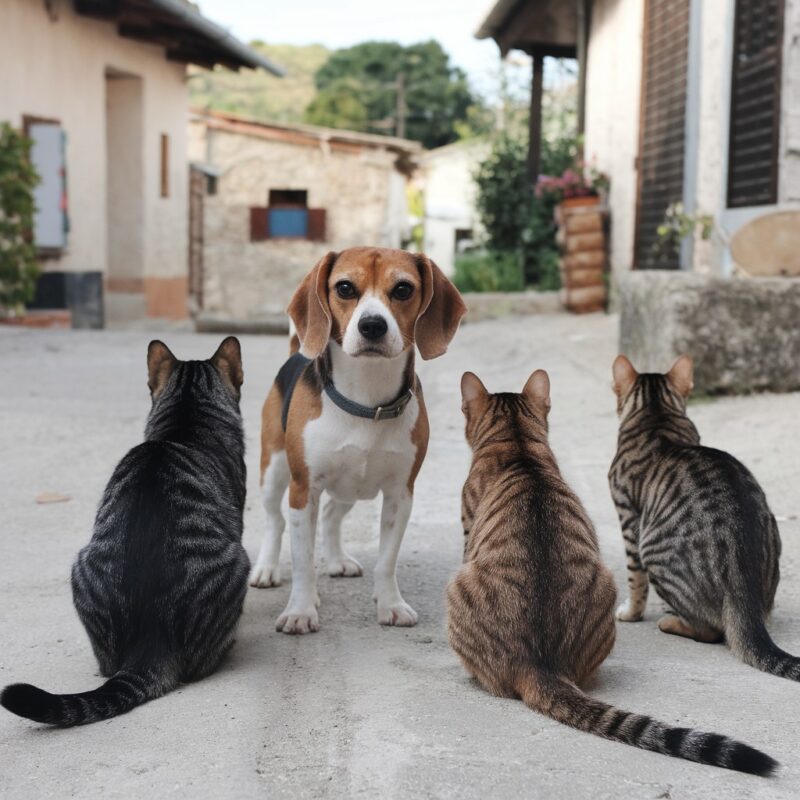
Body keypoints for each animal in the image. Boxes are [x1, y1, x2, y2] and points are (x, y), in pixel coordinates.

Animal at [247, 247, 466, 636]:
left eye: (403, 289)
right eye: (345, 287)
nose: (373, 325)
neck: (366, 400)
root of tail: (295, 353)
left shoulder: (400, 494)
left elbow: (386, 561)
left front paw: (391, 604)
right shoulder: (303, 489)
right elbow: (303, 561)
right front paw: (301, 610)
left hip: (351, 488)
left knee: (332, 516)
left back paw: (337, 560)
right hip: (274, 472)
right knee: (275, 522)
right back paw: (267, 569)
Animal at [608, 356, 796, 680]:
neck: (656, 414)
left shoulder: (628, 517)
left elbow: (635, 580)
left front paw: (631, 613)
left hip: (651, 548)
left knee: (710, 631)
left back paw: (671, 621)